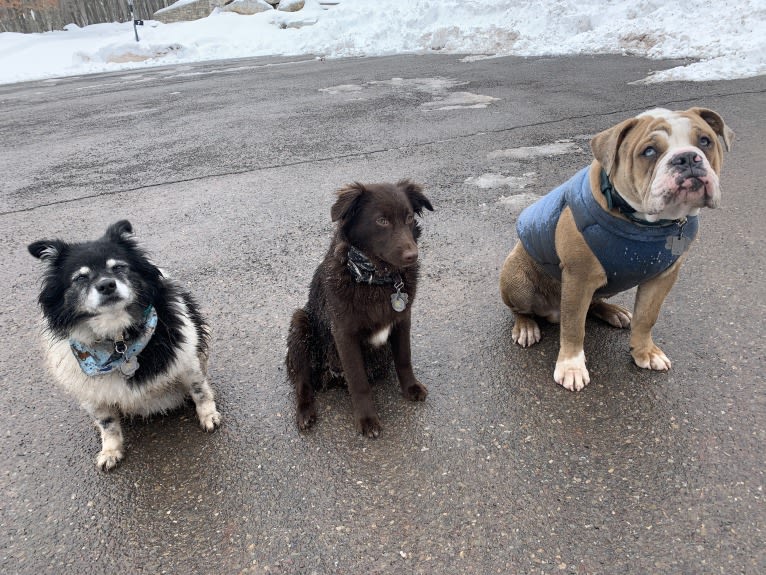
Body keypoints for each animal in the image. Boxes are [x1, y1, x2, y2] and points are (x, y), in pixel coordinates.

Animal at [28, 222, 220, 472]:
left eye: (118, 267)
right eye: (80, 277)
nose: (106, 285)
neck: (118, 342)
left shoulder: (186, 361)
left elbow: (200, 391)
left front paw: (209, 416)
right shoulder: (91, 393)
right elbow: (107, 423)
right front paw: (111, 451)